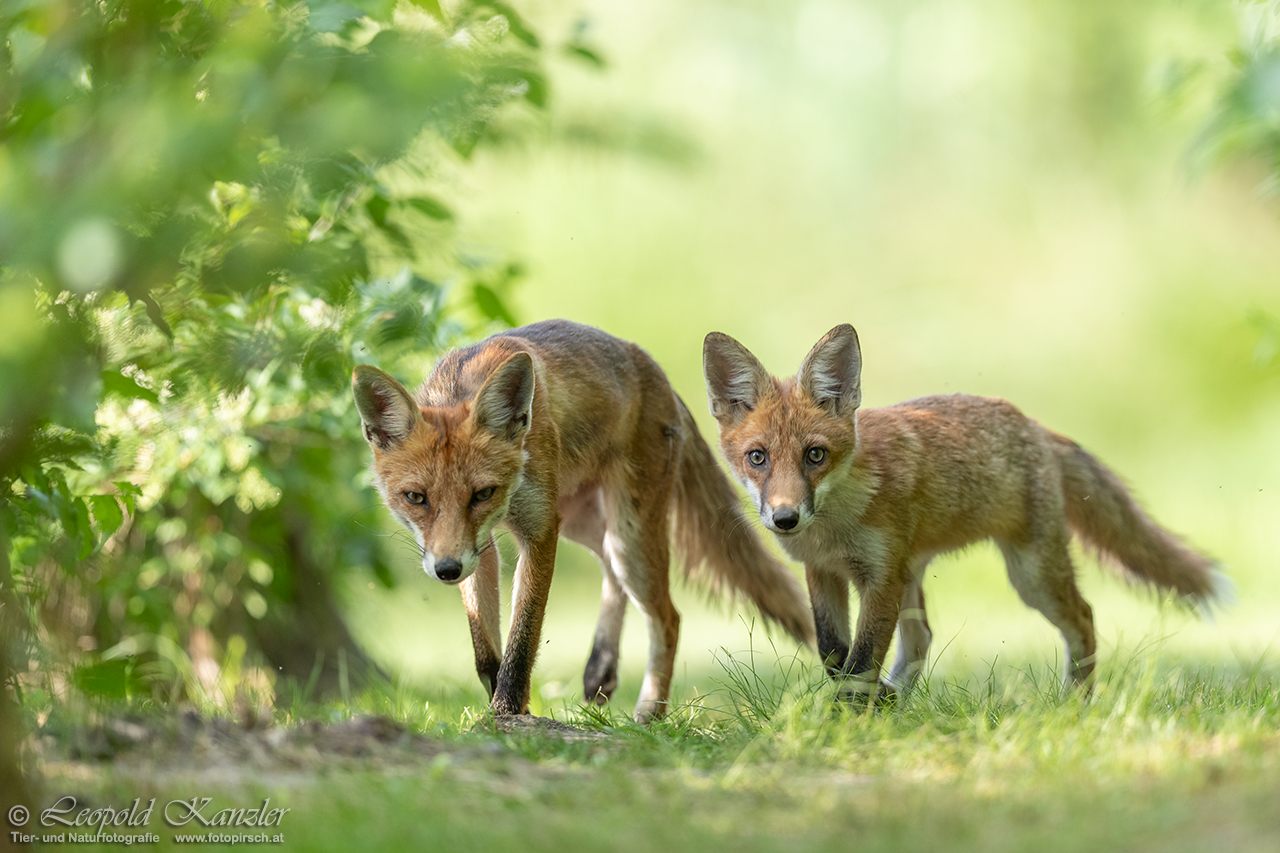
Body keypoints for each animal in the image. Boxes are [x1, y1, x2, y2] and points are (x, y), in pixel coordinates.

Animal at [353, 318, 808, 717]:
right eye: (415, 498)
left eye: (482, 494)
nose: (446, 571)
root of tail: (659, 376)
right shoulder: (478, 547)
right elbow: (484, 647)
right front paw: (501, 698)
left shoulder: (538, 529)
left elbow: (522, 638)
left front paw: (506, 713)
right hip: (582, 523)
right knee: (609, 568)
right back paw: (601, 667)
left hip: (627, 536)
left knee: (667, 616)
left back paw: (649, 713)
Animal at [706, 322, 1223, 701]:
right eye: (758, 457)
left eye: (815, 455)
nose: (785, 519)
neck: (834, 528)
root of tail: (1035, 425)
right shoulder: (825, 572)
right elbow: (835, 655)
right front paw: (859, 710)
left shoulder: (879, 576)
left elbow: (862, 661)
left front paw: (849, 722)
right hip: (915, 575)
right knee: (922, 638)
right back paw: (897, 701)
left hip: (1030, 575)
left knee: (1085, 617)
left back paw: (1074, 704)